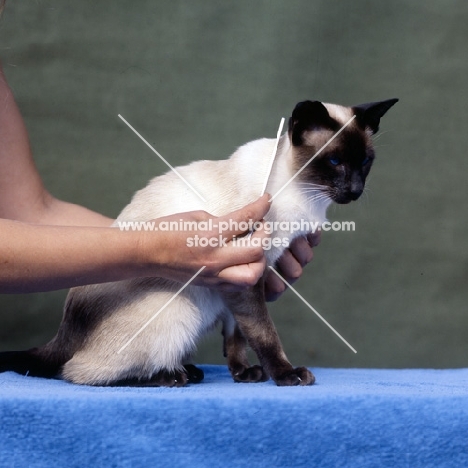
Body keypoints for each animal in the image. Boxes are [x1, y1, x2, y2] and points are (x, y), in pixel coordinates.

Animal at [0, 97, 398, 386]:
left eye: (365, 162)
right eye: (333, 161)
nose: (355, 190)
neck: (305, 194)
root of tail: (63, 335)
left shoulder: (244, 279)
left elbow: (237, 335)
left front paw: (244, 374)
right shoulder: (244, 274)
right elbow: (264, 333)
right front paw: (285, 375)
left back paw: (187, 370)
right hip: (182, 309)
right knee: (80, 373)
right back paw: (170, 377)